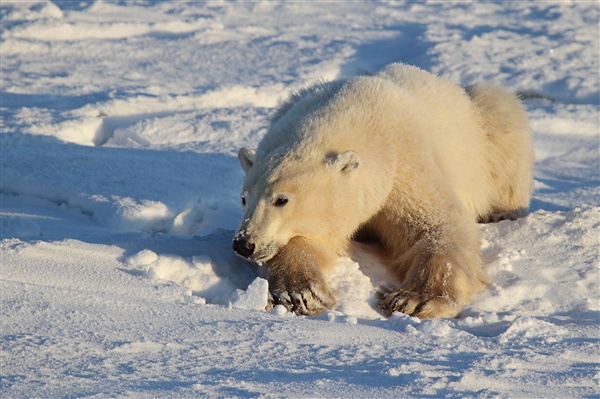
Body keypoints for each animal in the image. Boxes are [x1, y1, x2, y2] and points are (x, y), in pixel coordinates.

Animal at [232, 63, 532, 318]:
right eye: (244, 199)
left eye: (281, 200)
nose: (244, 244)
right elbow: (305, 238)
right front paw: (300, 293)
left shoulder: (404, 163)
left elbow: (440, 225)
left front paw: (415, 299)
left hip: (482, 130)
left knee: (501, 118)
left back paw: (503, 212)